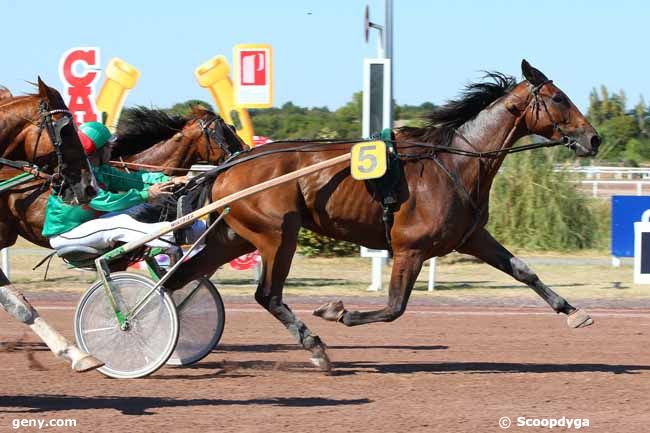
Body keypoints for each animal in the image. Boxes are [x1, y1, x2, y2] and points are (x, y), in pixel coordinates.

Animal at [166, 60, 596, 368]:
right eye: (559, 98)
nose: (593, 138)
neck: (455, 162)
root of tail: (230, 164)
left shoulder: (472, 237)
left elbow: (524, 271)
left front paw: (572, 311)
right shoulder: (410, 249)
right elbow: (394, 308)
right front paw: (337, 312)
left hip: (233, 236)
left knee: (181, 280)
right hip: (277, 235)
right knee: (267, 294)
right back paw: (315, 346)